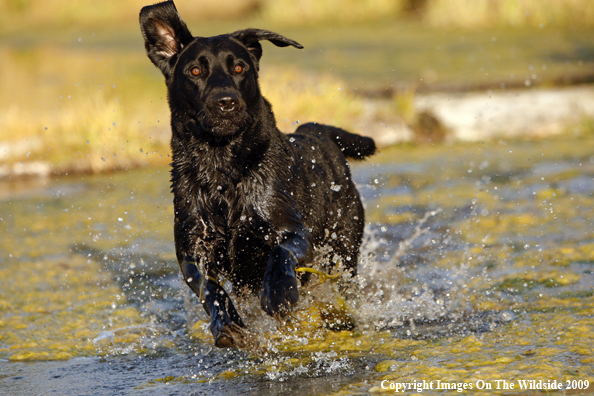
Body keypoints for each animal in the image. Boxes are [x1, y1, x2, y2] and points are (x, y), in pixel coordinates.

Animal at [139, 0, 374, 346]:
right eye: (195, 71)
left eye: (239, 68)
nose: (226, 102)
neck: (222, 170)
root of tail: (316, 131)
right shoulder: (193, 250)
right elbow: (209, 289)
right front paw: (226, 324)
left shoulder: (294, 233)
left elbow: (280, 252)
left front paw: (278, 292)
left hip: (343, 248)